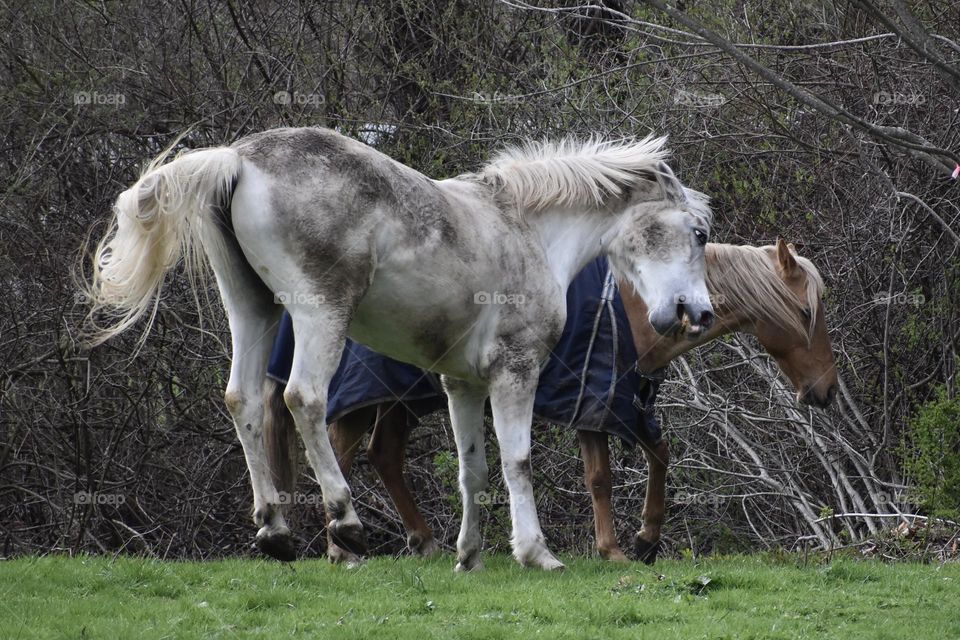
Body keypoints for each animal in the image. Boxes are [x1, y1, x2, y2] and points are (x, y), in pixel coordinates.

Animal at [88, 126, 712, 568]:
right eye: (699, 233)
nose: (697, 314)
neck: (527, 232)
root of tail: (238, 158)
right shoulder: (515, 372)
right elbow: (518, 461)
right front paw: (536, 553)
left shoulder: (463, 384)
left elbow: (472, 470)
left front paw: (469, 557)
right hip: (320, 316)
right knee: (304, 400)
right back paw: (344, 523)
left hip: (253, 310)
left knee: (242, 401)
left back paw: (275, 530)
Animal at [262, 238, 832, 564]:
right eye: (806, 313)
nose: (824, 390)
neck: (633, 304)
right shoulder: (598, 404)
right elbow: (604, 477)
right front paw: (619, 548)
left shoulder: (617, 403)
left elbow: (652, 457)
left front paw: (641, 540)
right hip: (367, 397)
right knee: (340, 451)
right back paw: (342, 547)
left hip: (399, 399)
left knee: (382, 454)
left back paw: (422, 542)